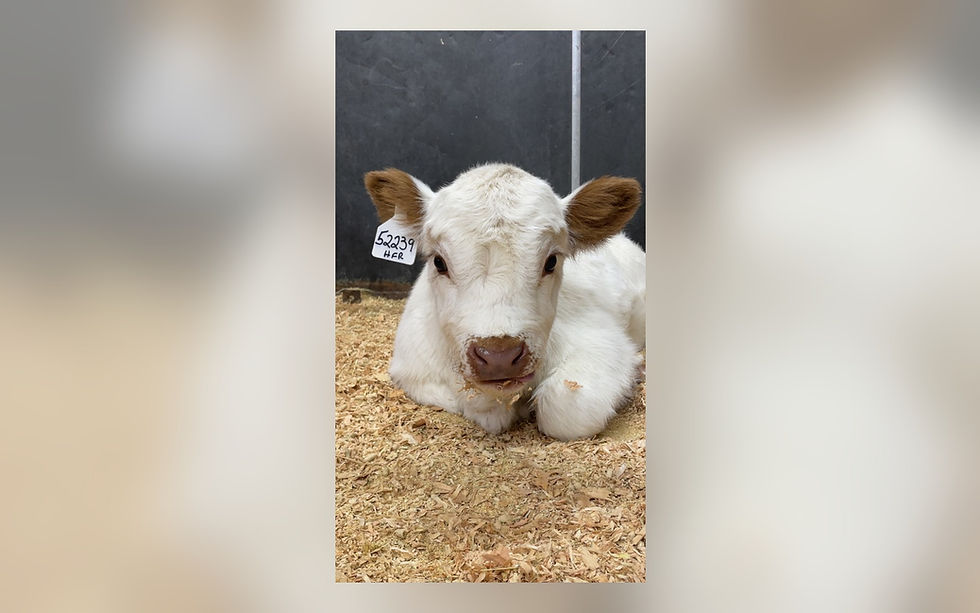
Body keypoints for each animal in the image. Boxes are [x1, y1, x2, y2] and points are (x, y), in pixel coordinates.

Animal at [364, 163, 645, 440]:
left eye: (552, 261)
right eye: (439, 262)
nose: (499, 355)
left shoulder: (605, 344)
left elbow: (564, 409)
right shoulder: (412, 371)